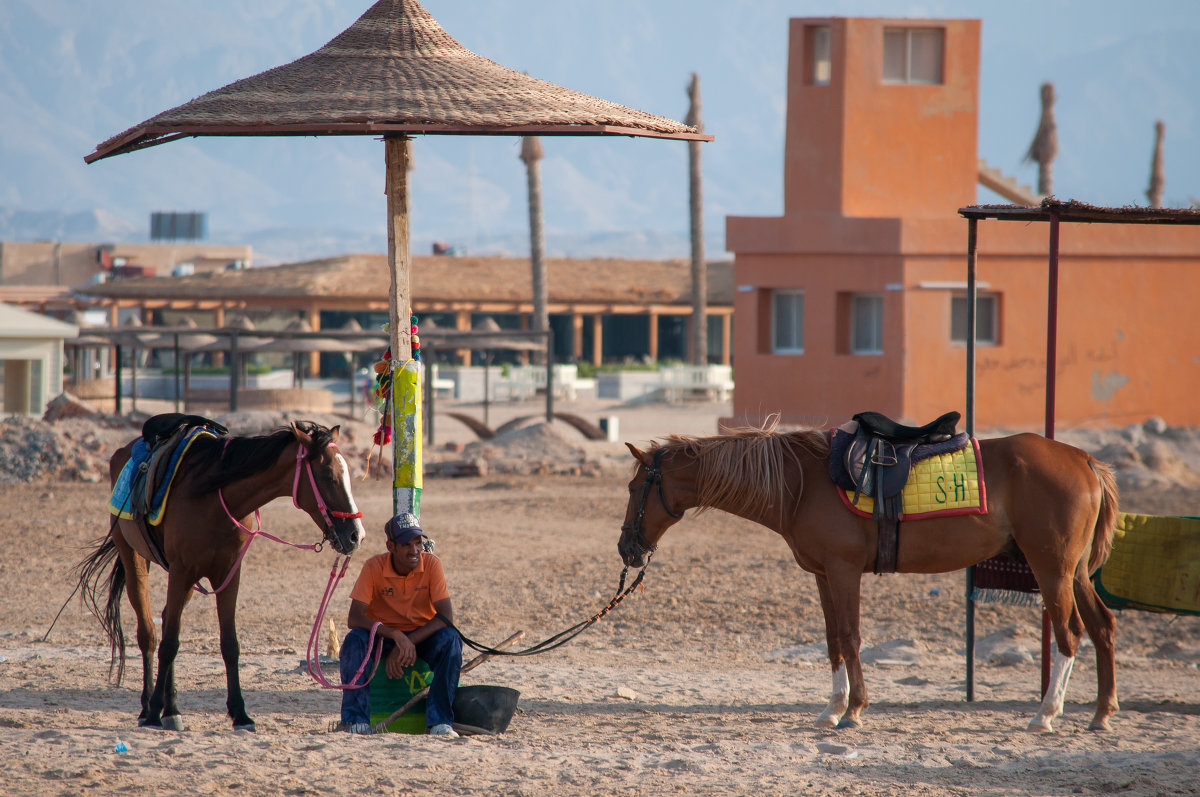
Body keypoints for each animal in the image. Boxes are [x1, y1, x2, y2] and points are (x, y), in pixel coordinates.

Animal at [74, 420, 362, 729]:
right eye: (328, 476)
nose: (356, 535)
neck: (213, 496)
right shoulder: (181, 570)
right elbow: (169, 643)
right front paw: (156, 713)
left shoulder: (228, 575)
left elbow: (229, 644)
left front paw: (240, 713)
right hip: (136, 560)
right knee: (149, 635)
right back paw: (148, 707)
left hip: (186, 582)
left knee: (166, 620)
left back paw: (169, 706)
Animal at [624, 427, 1118, 729]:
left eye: (633, 488)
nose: (627, 549)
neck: (800, 484)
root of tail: (1084, 460)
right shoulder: (823, 575)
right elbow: (832, 640)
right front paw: (833, 708)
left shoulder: (844, 571)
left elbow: (850, 636)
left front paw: (854, 709)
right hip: (1075, 573)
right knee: (1102, 627)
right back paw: (1100, 712)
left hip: (1051, 569)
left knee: (1069, 633)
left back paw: (1047, 713)